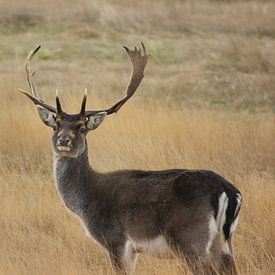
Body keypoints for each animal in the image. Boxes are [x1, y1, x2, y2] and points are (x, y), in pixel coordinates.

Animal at [19, 44, 243, 274]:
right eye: (55, 125)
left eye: (81, 128)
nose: (64, 140)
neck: (87, 201)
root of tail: (229, 191)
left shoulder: (116, 239)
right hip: (223, 241)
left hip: (190, 237)